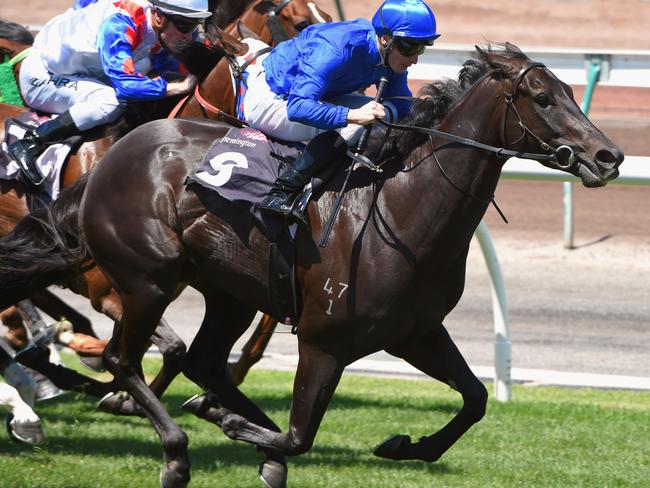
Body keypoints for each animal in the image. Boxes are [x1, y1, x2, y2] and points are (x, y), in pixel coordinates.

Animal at [1, 43, 616, 486]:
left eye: (568, 90)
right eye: (541, 96)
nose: (609, 156)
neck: (402, 208)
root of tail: (106, 163)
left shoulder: (415, 333)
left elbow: (476, 400)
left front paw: (407, 444)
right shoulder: (325, 341)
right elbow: (301, 436)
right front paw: (233, 426)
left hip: (228, 293)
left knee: (202, 361)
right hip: (148, 280)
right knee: (124, 359)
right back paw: (176, 450)